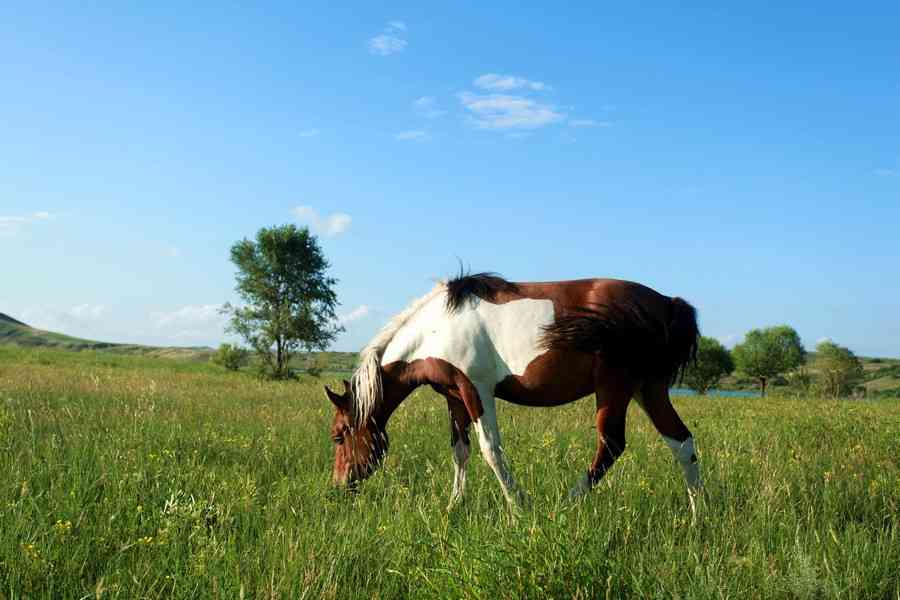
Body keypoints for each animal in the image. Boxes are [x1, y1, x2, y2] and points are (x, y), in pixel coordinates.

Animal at [324, 274, 704, 508]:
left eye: (339, 436)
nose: (339, 487)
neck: (436, 327)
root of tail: (667, 304)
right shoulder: (454, 396)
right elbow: (460, 451)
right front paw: (454, 505)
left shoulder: (476, 390)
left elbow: (491, 450)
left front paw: (519, 506)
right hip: (647, 389)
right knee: (681, 442)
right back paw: (698, 514)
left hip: (614, 388)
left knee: (610, 445)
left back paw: (566, 504)